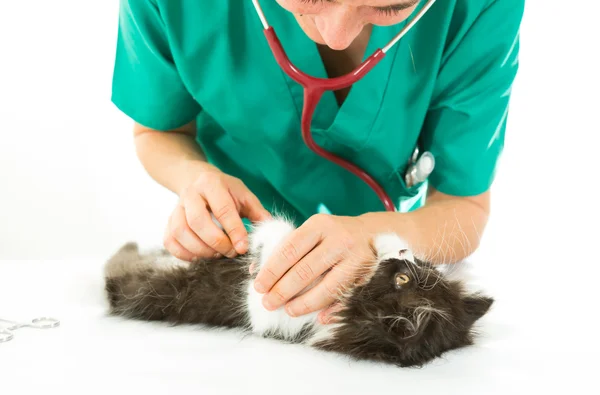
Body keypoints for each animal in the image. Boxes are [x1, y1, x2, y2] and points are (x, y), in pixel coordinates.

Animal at [105, 217, 494, 368]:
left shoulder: (273, 313)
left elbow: (261, 285)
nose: (404, 255)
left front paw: (269, 238)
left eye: (401, 282)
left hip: (142, 284)